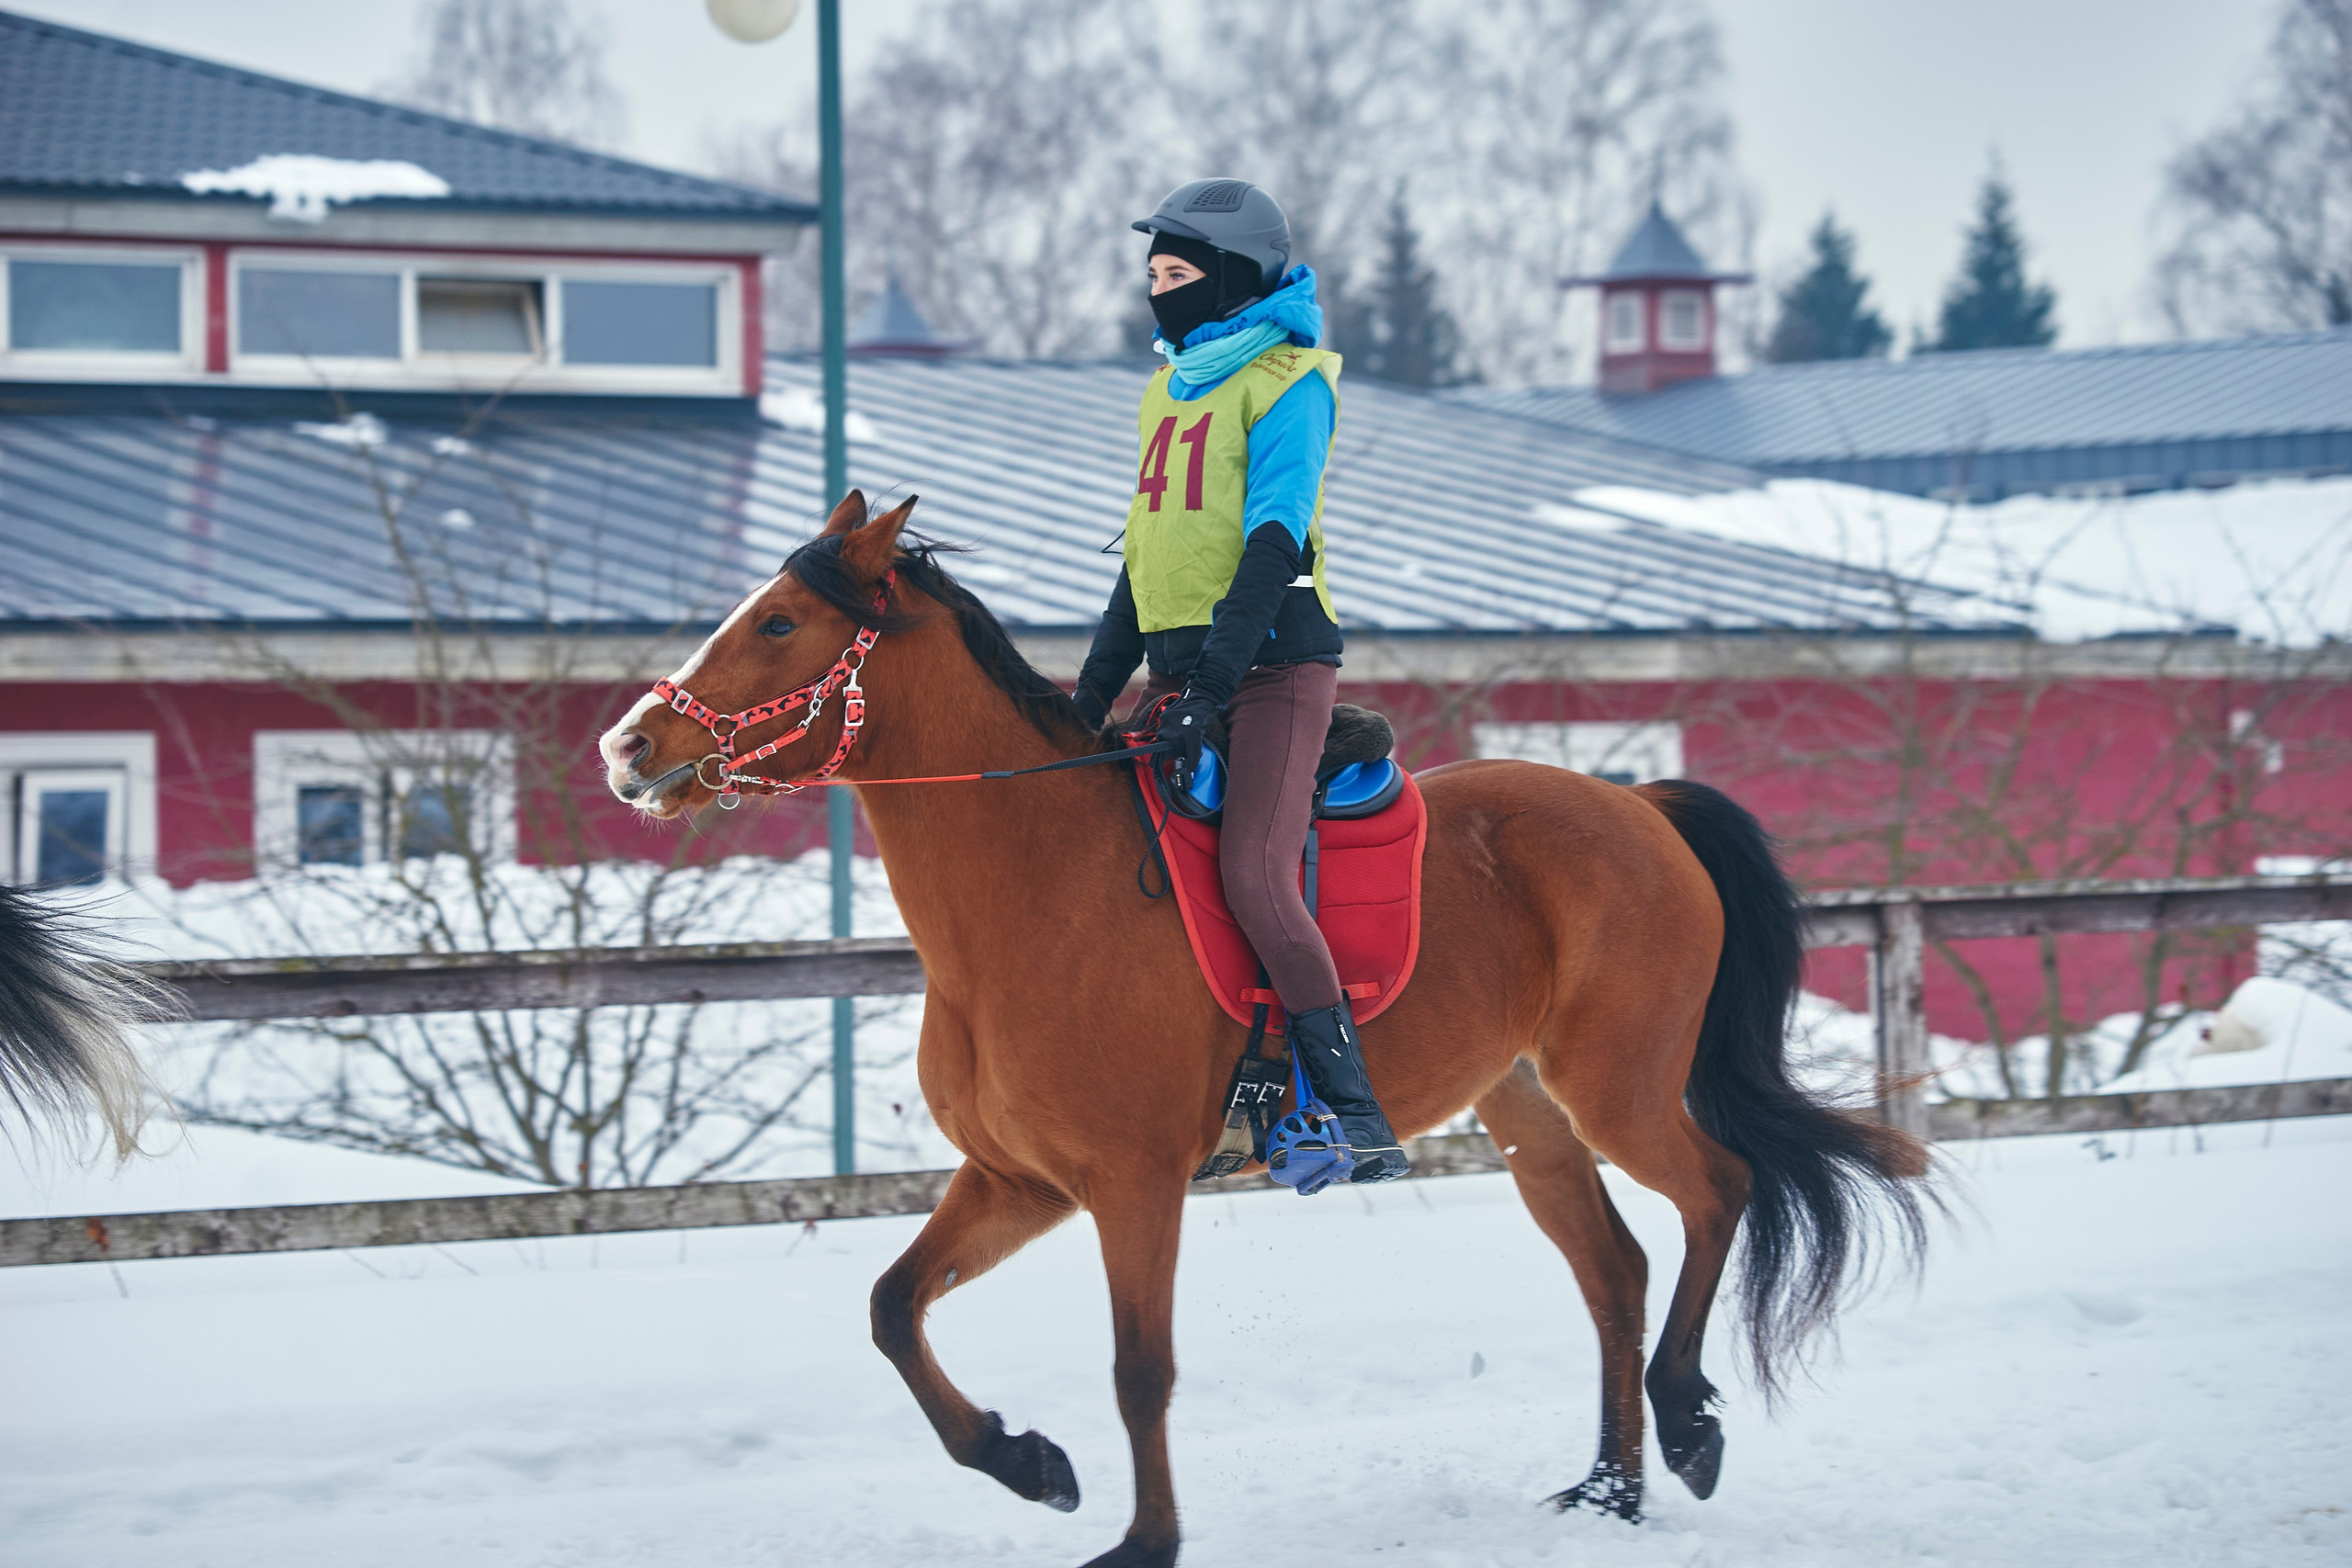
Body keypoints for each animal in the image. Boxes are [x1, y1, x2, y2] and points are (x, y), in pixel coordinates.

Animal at [593, 491, 1933, 1564]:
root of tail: (1638, 805)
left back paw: (1688, 1419)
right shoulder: (1019, 1180)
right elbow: (890, 1307)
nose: (628, 746)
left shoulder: (1134, 1184)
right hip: (1527, 1108)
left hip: (1620, 1084)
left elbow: (1141, 1368)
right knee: (1615, 1267)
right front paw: (1030, 1463)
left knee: (1720, 1187)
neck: (1036, 888)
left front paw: (1144, 1540)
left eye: (777, 623)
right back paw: (1611, 1487)